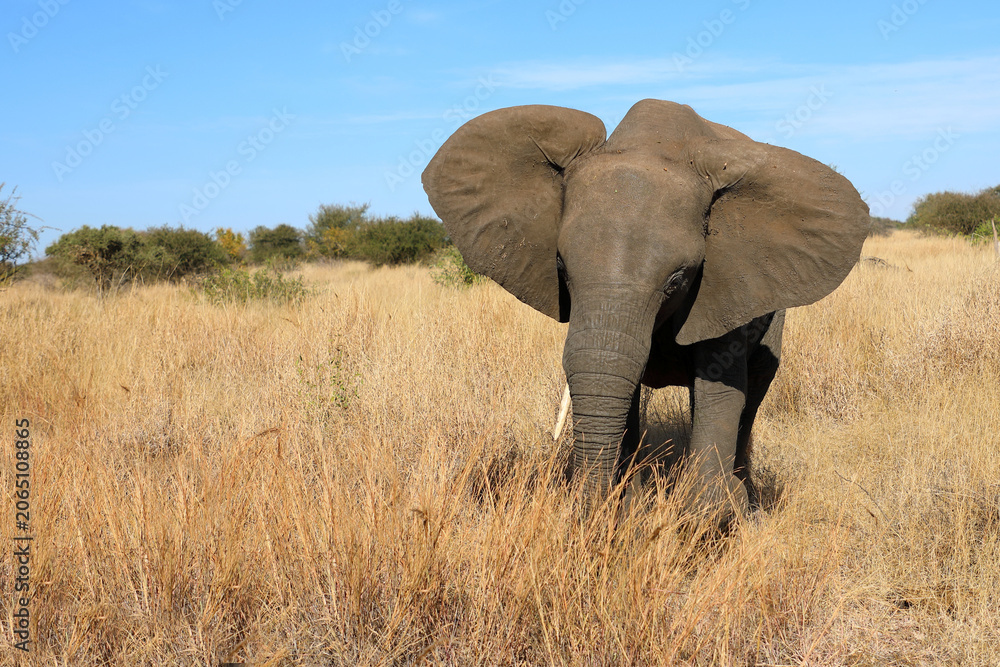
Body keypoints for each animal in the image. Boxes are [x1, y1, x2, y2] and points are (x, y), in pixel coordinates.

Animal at [422, 99, 869, 527]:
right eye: (562, 268)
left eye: (677, 280)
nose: (587, 507)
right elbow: (627, 390)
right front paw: (630, 508)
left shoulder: (727, 281)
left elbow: (721, 389)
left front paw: (715, 514)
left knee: (754, 390)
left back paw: (749, 504)